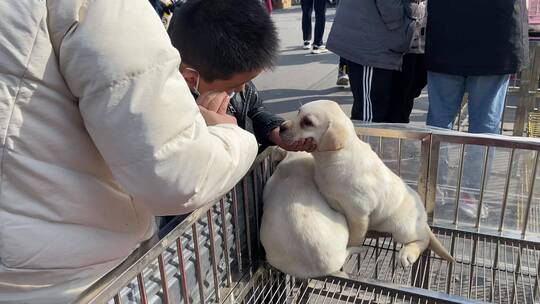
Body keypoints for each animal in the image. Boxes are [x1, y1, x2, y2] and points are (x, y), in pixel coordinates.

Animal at [280, 101, 454, 268]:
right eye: (298, 112)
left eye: (307, 122)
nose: (281, 127)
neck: (334, 158)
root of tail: (424, 221)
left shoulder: (359, 213)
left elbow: (354, 238)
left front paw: (350, 249)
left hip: (402, 227)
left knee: (423, 240)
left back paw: (407, 254)